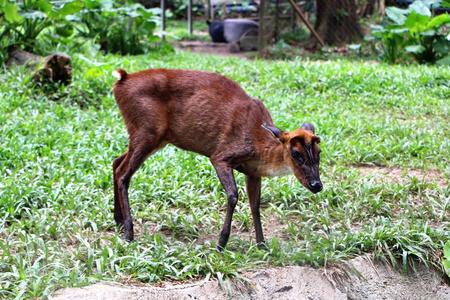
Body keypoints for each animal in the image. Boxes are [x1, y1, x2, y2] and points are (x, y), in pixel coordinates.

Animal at [112, 68, 324, 251]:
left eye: (319, 152)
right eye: (296, 153)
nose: (316, 184)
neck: (259, 145)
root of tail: (122, 79)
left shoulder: (253, 172)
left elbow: (255, 205)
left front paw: (262, 245)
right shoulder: (221, 156)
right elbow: (233, 195)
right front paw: (220, 244)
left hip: (152, 137)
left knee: (116, 162)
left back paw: (118, 221)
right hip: (147, 130)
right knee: (124, 173)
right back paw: (129, 232)